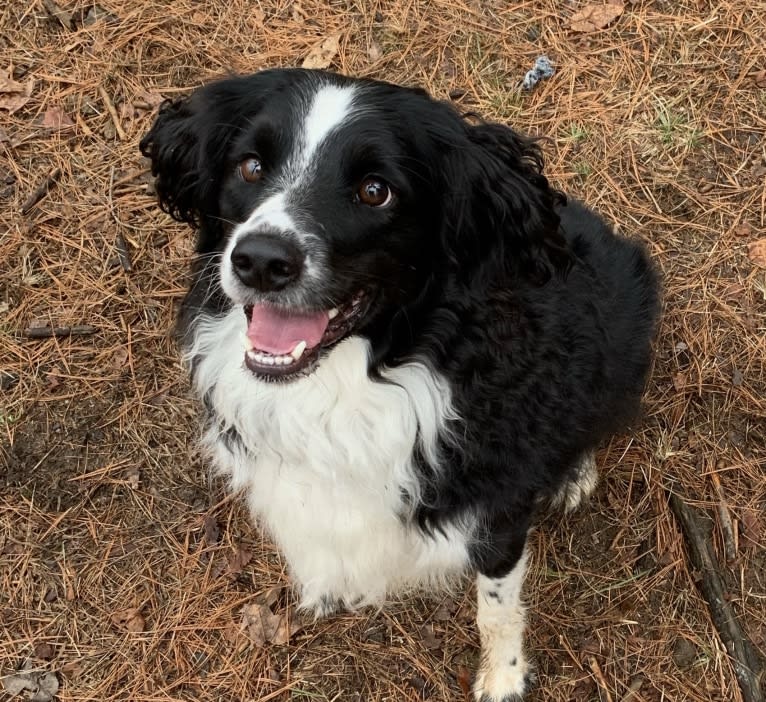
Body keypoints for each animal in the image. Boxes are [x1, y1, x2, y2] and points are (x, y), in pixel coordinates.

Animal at [142, 67, 660, 702]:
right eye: (251, 166)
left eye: (375, 190)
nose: (260, 261)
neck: (355, 378)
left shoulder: (496, 508)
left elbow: (496, 605)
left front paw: (503, 676)